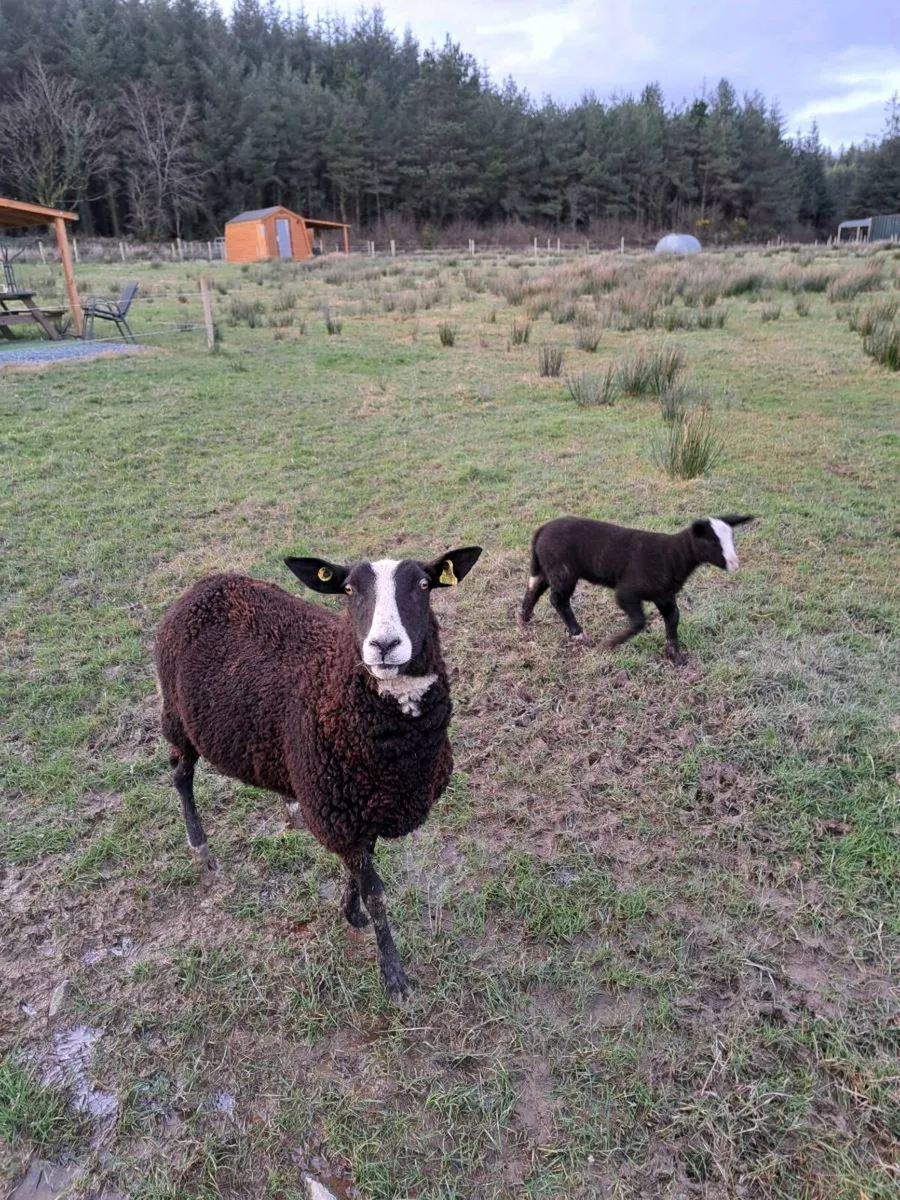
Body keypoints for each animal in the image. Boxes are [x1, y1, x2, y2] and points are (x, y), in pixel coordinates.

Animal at [155, 545, 482, 1002]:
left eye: (423, 585)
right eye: (348, 590)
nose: (384, 645)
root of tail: (205, 585)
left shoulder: (359, 809)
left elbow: (359, 874)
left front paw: (351, 911)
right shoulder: (340, 812)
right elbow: (376, 894)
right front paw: (394, 976)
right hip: (177, 718)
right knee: (180, 775)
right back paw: (201, 849)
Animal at [517, 515, 754, 662]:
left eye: (731, 538)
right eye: (713, 542)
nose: (734, 563)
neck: (674, 555)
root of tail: (542, 529)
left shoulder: (665, 596)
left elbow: (673, 619)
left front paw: (675, 655)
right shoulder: (627, 592)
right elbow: (640, 621)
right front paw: (610, 644)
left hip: (549, 567)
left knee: (535, 588)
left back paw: (524, 619)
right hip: (563, 569)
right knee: (558, 600)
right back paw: (577, 633)